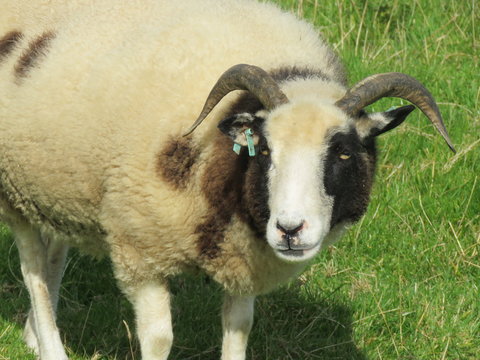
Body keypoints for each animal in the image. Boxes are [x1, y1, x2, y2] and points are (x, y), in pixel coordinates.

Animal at [0, 0, 454, 360]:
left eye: (343, 153)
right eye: (265, 150)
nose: (290, 230)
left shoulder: (245, 256)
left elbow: (239, 329)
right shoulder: (140, 247)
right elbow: (159, 339)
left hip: (54, 182)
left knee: (55, 250)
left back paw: (35, 335)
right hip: (14, 187)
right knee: (33, 268)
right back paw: (50, 346)